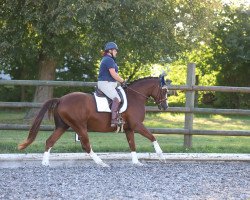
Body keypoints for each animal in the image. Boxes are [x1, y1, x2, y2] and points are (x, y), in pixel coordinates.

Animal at [18, 76, 169, 166]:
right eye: (164, 90)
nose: (165, 106)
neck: (135, 97)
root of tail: (60, 99)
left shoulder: (129, 128)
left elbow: (132, 145)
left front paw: (136, 162)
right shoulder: (137, 125)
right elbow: (153, 137)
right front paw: (161, 156)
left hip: (62, 126)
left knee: (50, 141)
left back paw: (45, 163)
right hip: (79, 126)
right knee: (86, 145)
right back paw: (101, 163)